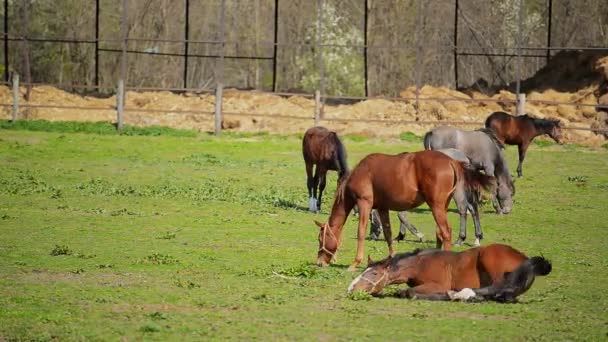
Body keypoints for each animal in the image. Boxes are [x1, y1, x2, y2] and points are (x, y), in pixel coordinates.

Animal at [314, 149, 494, 270]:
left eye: (320, 239)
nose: (319, 262)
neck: (361, 172)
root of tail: (452, 161)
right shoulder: (383, 208)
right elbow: (388, 232)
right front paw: (392, 257)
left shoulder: (364, 203)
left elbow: (361, 231)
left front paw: (355, 262)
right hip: (441, 205)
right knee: (440, 232)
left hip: (436, 205)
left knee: (446, 231)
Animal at [346, 243, 552, 302]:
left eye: (373, 274)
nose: (351, 289)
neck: (420, 264)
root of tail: (524, 258)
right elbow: (405, 291)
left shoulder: (438, 284)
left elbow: (410, 292)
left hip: (489, 259)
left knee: (499, 289)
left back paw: (464, 294)